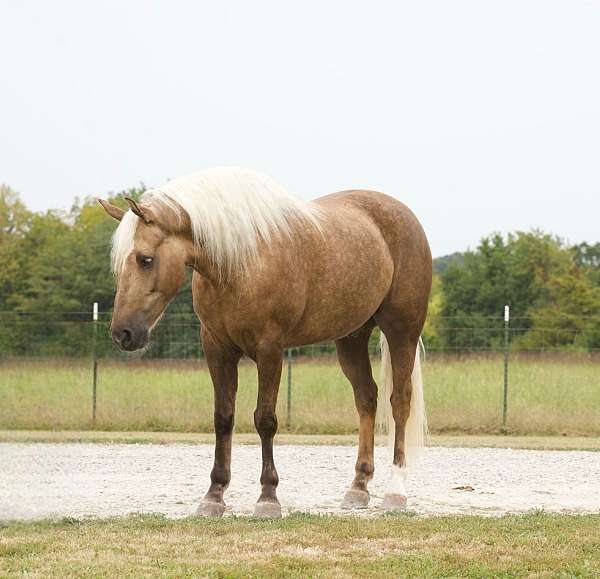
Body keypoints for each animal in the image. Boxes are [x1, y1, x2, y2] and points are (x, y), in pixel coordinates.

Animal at [101, 167, 434, 516]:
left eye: (145, 259)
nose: (123, 333)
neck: (240, 261)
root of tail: (404, 216)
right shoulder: (217, 349)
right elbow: (223, 418)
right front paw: (214, 495)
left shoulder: (269, 350)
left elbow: (265, 419)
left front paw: (268, 496)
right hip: (351, 338)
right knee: (367, 398)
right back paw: (358, 487)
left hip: (402, 331)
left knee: (400, 402)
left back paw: (396, 491)